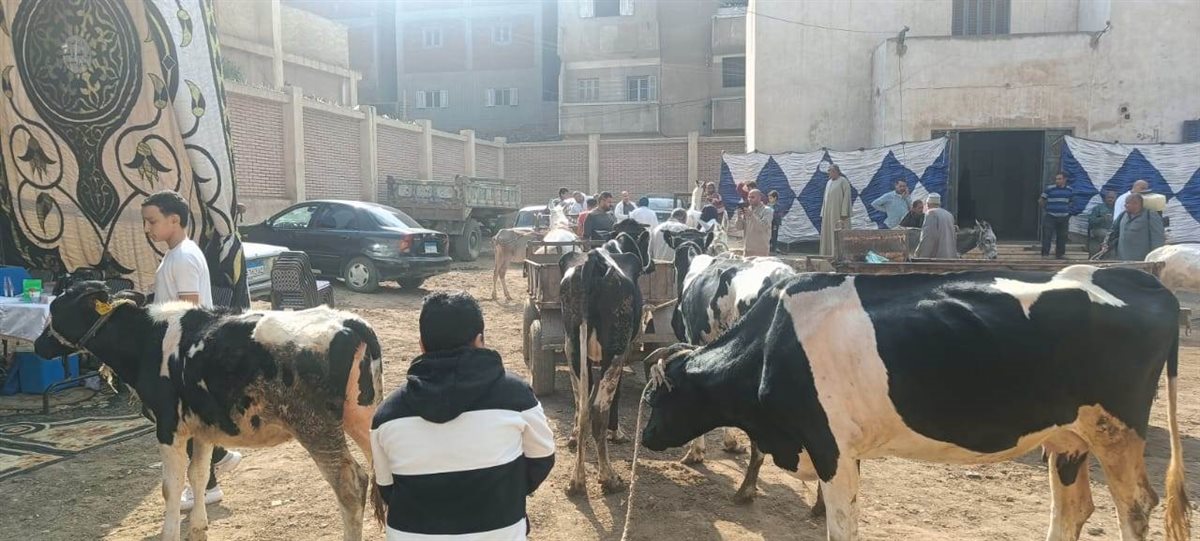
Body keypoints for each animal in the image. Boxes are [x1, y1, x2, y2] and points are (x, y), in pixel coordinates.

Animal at [34, 282, 385, 541]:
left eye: (56, 308)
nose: (38, 345)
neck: (146, 339)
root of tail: (349, 321)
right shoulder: (203, 428)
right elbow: (198, 475)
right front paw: (199, 526)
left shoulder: (168, 425)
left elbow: (171, 486)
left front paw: (171, 532)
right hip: (363, 416)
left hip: (315, 426)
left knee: (351, 484)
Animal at [560, 245, 647, 495]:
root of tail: (593, 259)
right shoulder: (624, 351)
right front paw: (616, 433)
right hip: (615, 349)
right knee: (598, 409)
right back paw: (609, 477)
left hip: (572, 345)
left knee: (583, 407)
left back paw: (576, 481)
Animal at [638, 266, 1189, 541]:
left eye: (657, 394)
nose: (644, 436)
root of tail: (1141, 279)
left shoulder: (831, 446)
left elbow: (842, 526)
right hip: (1067, 435)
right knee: (1074, 508)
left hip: (1115, 429)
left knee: (1135, 506)